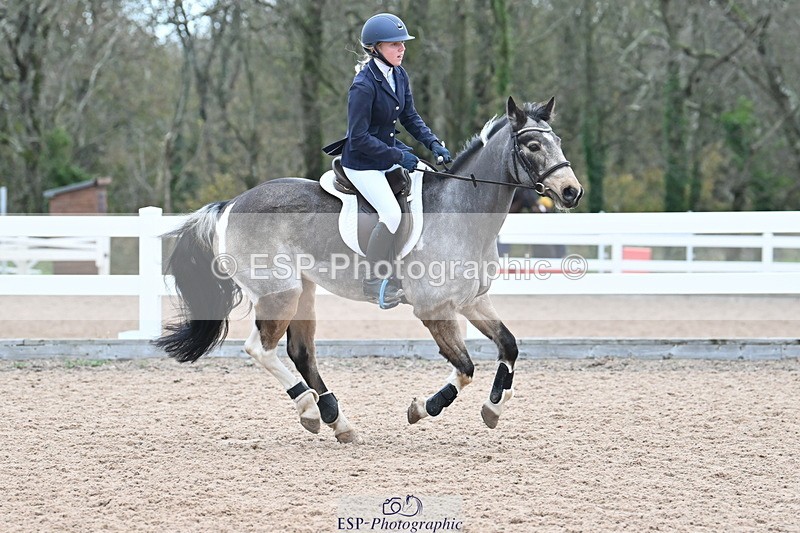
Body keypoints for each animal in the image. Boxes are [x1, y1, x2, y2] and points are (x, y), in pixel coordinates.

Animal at [155, 96, 583, 443]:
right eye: (532, 145)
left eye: (559, 141)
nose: (571, 192)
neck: (463, 214)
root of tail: (231, 204)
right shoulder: (434, 310)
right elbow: (464, 367)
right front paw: (423, 408)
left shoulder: (471, 301)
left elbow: (508, 345)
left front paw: (493, 407)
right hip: (280, 294)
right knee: (260, 348)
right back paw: (309, 410)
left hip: (304, 291)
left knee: (300, 352)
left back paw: (337, 421)